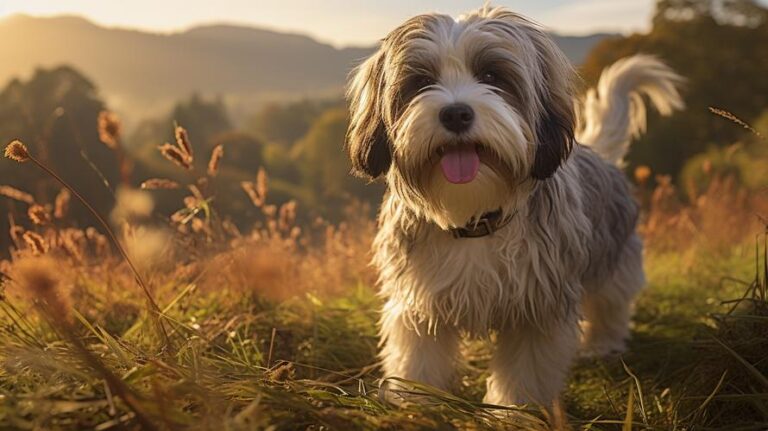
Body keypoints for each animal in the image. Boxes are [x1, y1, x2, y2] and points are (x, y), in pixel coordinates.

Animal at [344, 5, 680, 406]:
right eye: (421, 81)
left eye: (492, 75)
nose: (455, 114)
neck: (474, 220)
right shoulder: (420, 302)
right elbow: (419, 361)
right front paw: (415, 404)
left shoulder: (536, 309)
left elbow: (524, 374)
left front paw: (513, 412)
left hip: (613, 258)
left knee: (611, 304)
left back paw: (603, 343)